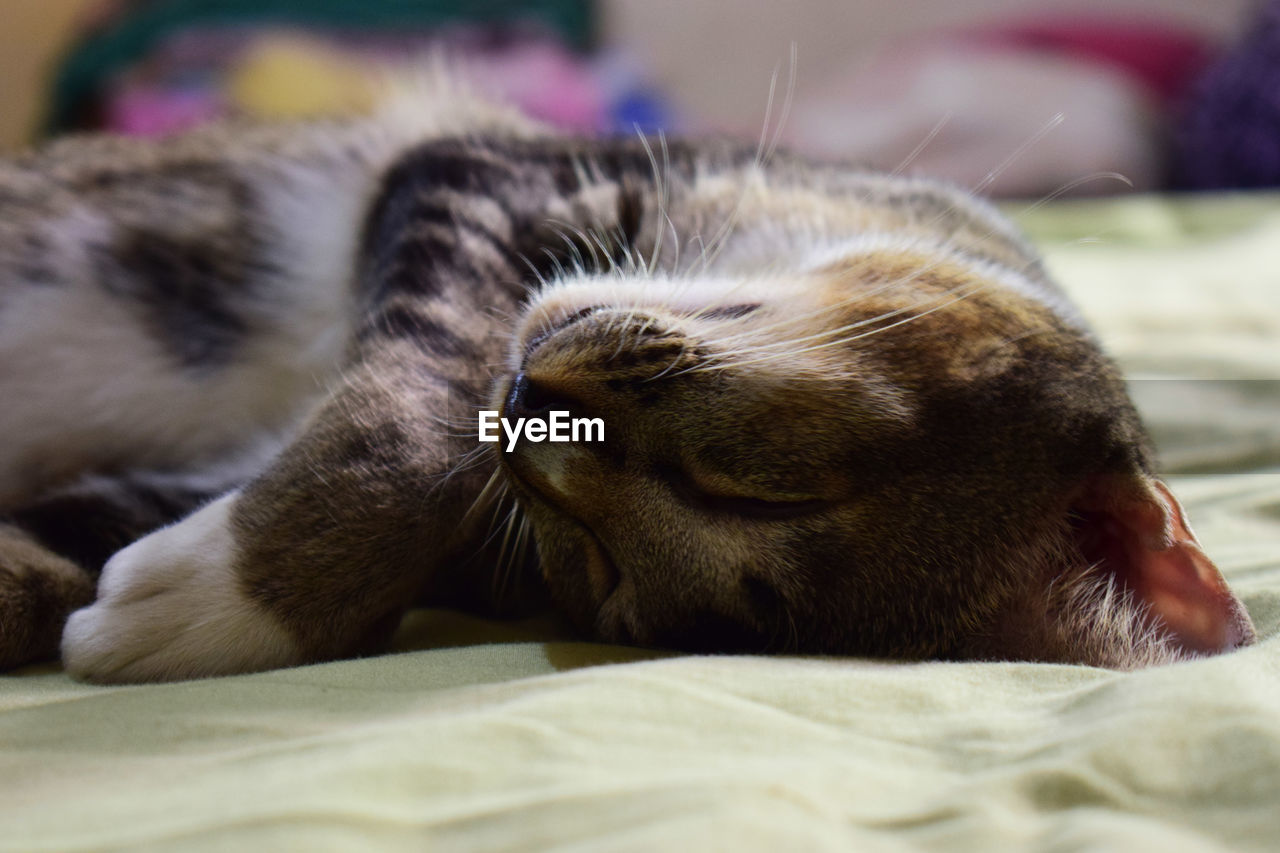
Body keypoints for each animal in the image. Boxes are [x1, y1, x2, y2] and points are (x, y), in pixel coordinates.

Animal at [0, 78, 1259, 676]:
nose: (526, 404)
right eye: (762, 484)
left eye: (592, 569)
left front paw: (198, 595)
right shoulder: (472, 175)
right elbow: (420, 420)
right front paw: (231, 599)